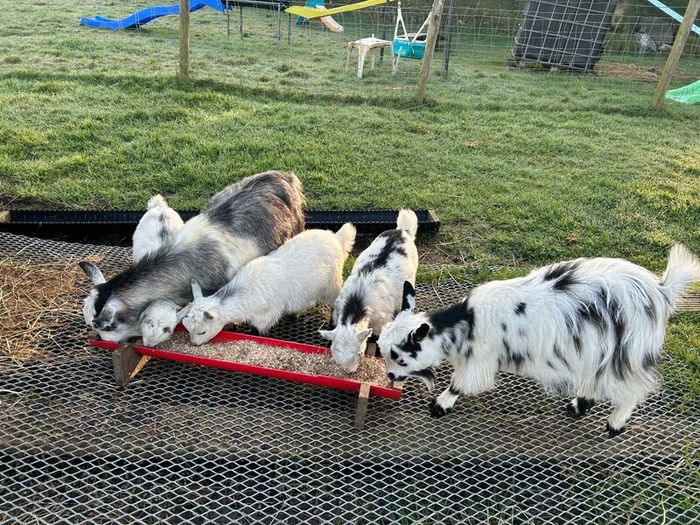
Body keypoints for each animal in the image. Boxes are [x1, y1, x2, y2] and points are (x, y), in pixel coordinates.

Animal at [181, 224, 356, 345]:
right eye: (187, 327)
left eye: (203, 332)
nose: (194, 344)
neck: (246, 290)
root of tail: (336, 238)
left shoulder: (266, 315)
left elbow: (257, 330)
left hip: (332, 284)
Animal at [319, 209, 418, 373]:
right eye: (335, 351)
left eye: (360, 353)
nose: (350, 371)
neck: (357, 300)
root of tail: (402, 230)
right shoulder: (337, 309)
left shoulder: (381, 322)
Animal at [378, 245, 700, 437]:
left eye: (401, 357)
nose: (390, 375)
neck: (469, 322)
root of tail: (661, 291)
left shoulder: (480, 359)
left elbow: (460, 383)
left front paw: (440, 405)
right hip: (600, 351)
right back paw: (579, 405)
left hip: (627, 353)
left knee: (632, 390)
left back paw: (615, 424)